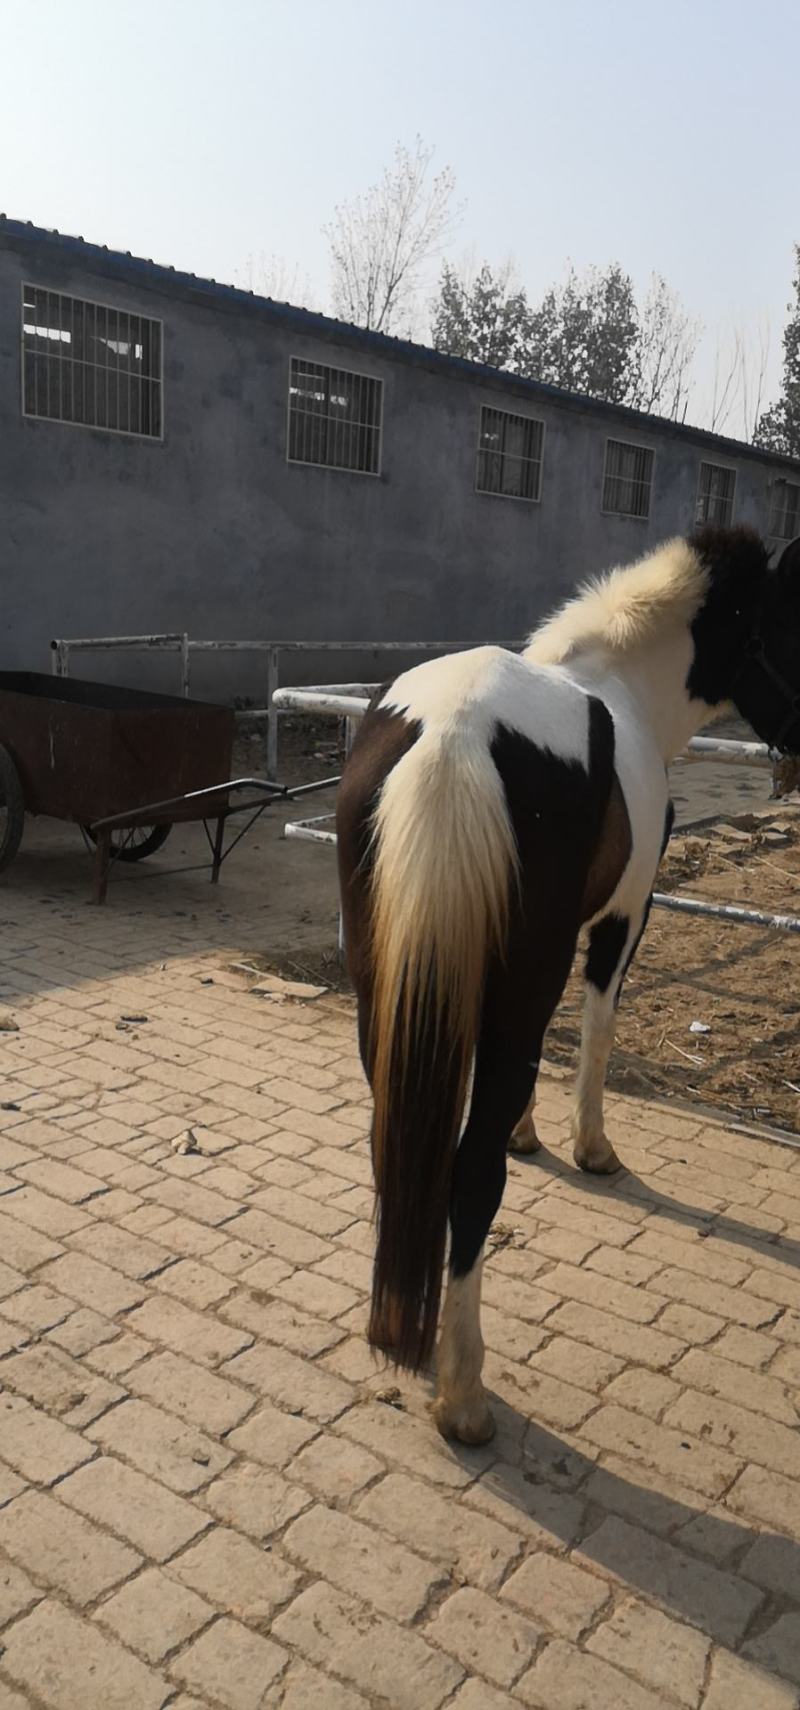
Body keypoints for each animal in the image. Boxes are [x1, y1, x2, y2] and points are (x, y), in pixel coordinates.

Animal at [335, 524, 800, 1445]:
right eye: (787, 625)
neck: (622, 683)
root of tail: (453, 731)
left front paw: (528, 1131)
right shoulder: (623, 918)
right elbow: (595, 1032)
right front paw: (592, 1148)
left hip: (389, 992)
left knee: (398, 1144)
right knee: (470, 1176)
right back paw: (464, 1393)